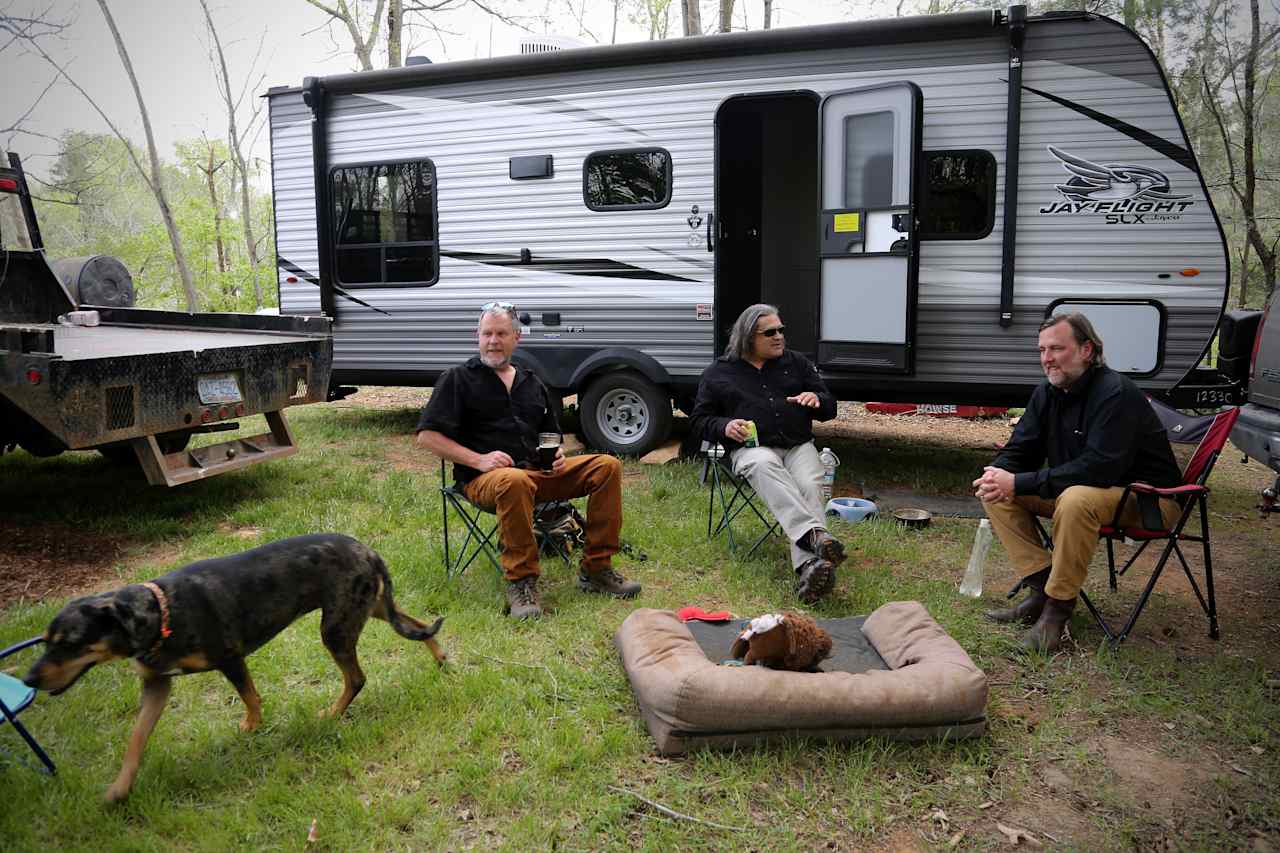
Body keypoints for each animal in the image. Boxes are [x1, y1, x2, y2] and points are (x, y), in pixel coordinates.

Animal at [22, 527, 448, 799]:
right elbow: (136, 740)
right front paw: (119, 789)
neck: (160, 613)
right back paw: (441, 657)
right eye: (44, 642)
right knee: (418, 623)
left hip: (336, 627)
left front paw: (252, 728)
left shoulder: (230, 658)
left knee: (358, 677)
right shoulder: (156, 684)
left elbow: (251, 698)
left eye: (70, 643)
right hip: (367, 608)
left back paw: (332, 713)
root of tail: (368, 550)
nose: (28, 680)